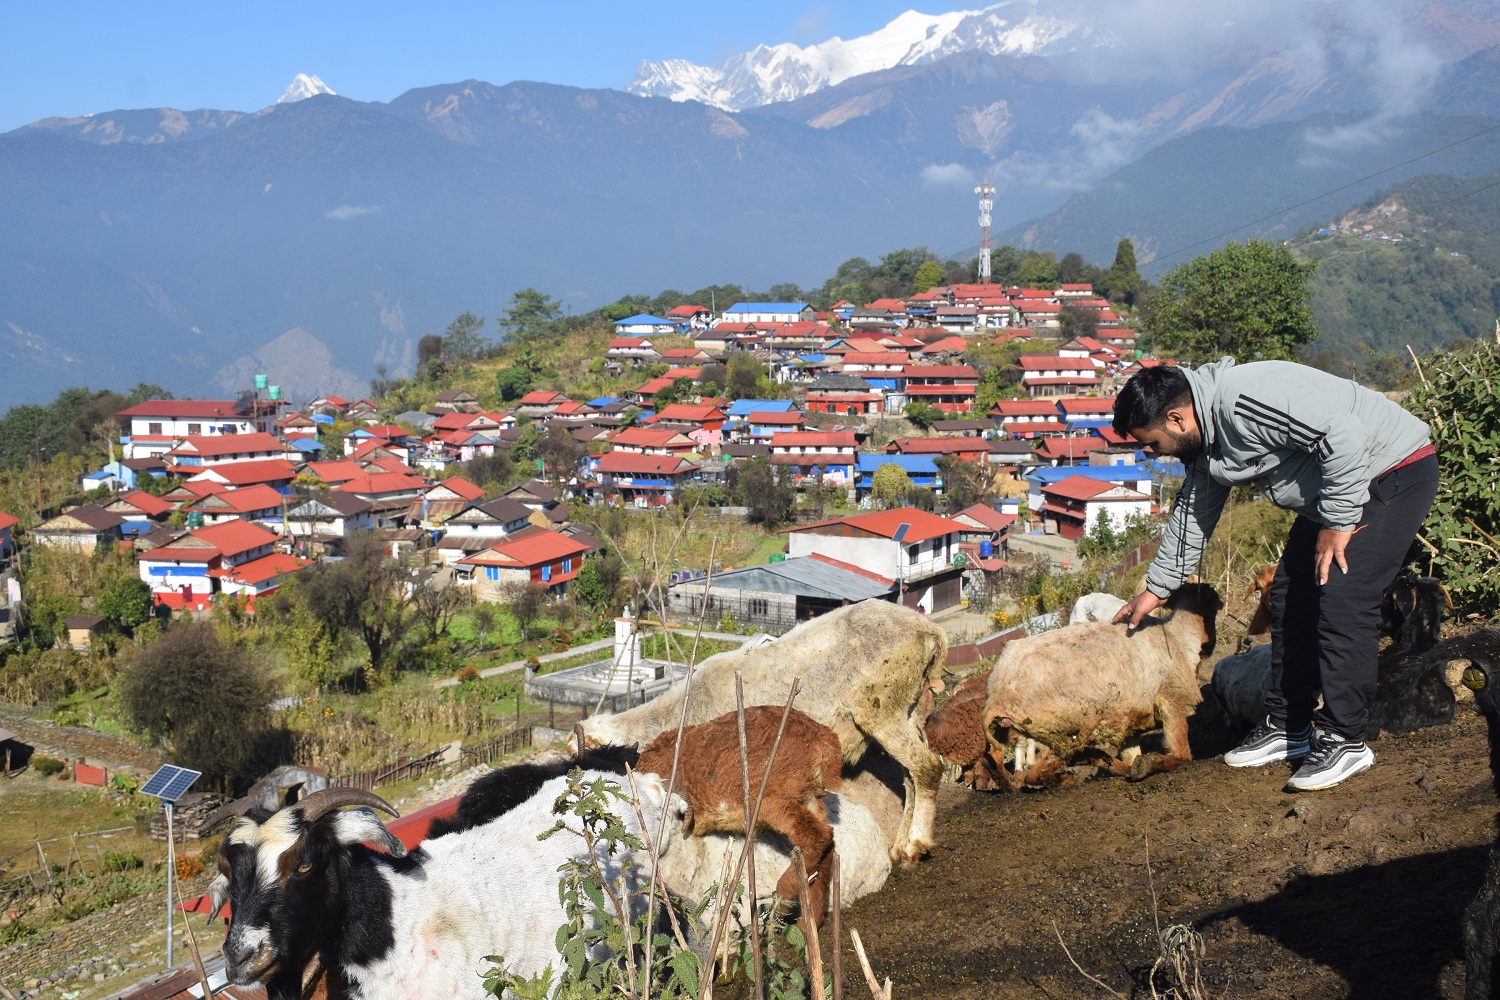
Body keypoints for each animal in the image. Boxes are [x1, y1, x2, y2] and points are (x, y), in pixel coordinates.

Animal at [567, 599, 942, 863]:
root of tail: (928, 630)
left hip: (883, 710)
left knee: (928, 768)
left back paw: (916, 845)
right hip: (907, 708)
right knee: (910, 778)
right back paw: (900, 846)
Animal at [984, 587, 1218, 779]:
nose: (1210, 647)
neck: (1178, 637)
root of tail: (997, 694)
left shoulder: (1130, 723)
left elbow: (1132, 757)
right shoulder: (1172, 702)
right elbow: (1182, 756)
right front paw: (1152, 762)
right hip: (1067, 724)